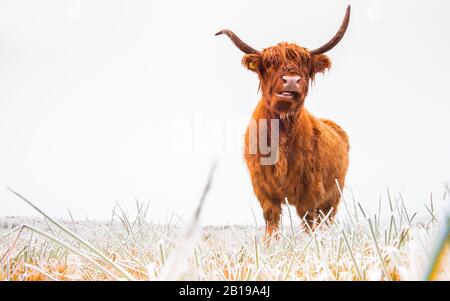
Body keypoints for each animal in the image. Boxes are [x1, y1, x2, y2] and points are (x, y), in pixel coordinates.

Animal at [218, 5, 352, 234]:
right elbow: (271, 221)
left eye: (305, 64)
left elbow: (308, 222)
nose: (291, 80)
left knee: (325, 220)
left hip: (334, 195)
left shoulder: (311, 191)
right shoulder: (263, 189)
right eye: (270, 63)